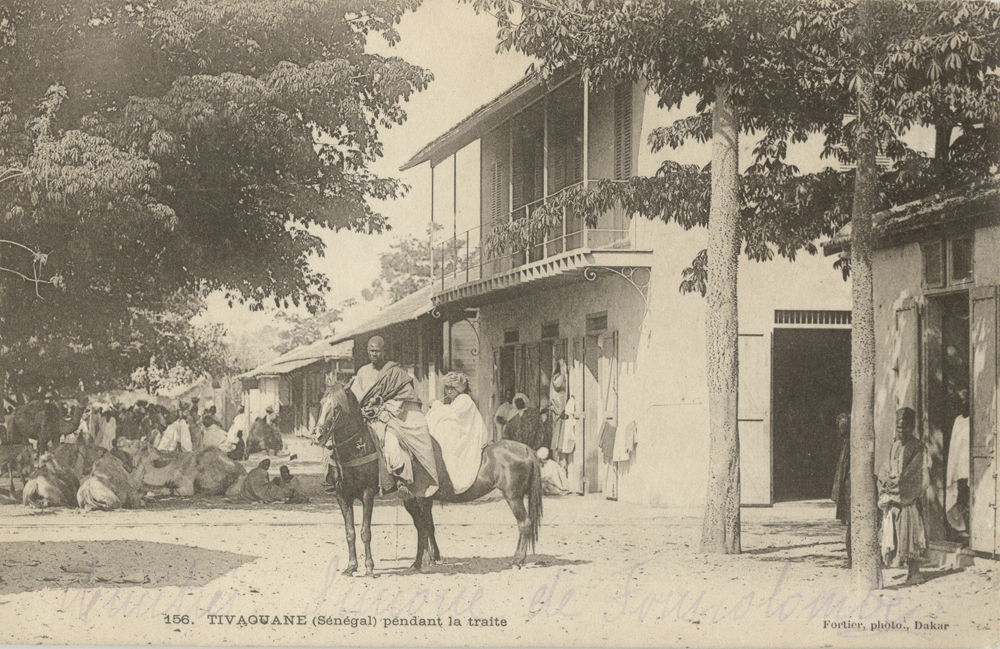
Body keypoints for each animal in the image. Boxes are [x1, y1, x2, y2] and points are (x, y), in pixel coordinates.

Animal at [316, 382, 544, 576]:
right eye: (321, 404)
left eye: (336, 407)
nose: (318, 435)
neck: (359, 447)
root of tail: (527, 449)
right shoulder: (342, 496)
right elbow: (351, 532)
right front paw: (351, 567)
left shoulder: (368, 494)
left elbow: (366, 531)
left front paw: (370, 568)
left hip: (513, 496)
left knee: (524, 523)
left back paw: (517, 560)